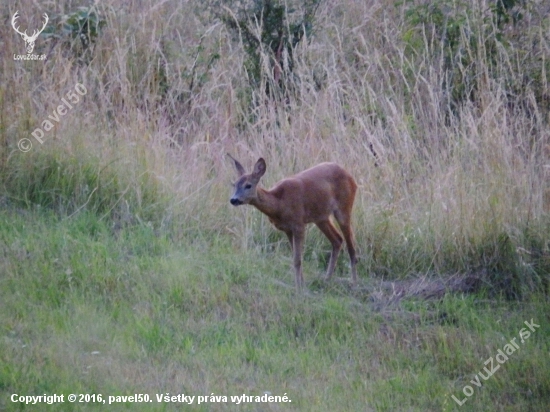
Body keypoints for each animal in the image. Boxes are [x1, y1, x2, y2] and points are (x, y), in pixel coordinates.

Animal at [227, 155, 358, 290]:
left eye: (248, 185)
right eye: (234, 184)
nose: (233, 200)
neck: (280, 204)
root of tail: (351, 177)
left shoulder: (298, 224)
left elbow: (297, 259)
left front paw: (299, 288)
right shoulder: (287, 229)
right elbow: (295, 257)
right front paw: (302, 284)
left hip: (344, 207)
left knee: (351, 247)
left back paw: (354, 283)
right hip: (321, 217)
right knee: (337, 240)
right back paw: (326, 280)